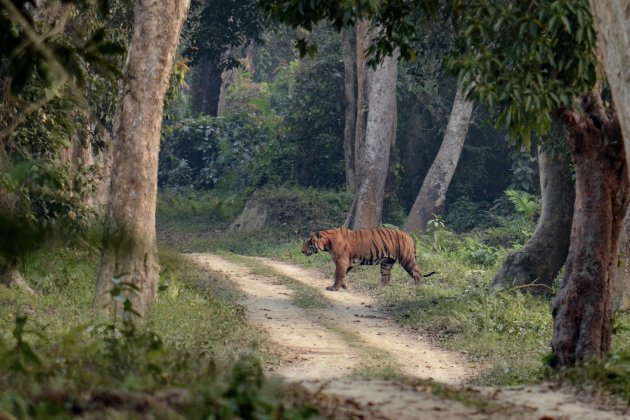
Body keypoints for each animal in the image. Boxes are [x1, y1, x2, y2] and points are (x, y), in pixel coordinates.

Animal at [302, 226, 434, 292]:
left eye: (308, 243)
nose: (302, 251)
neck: (327, 243)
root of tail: (409, 236)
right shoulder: (348, 263)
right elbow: (343, 274)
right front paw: (343, 286)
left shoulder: (341, 261)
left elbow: (338, 274)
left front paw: (334, 288)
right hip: (386, 263)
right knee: (386, 278)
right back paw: (379, 288)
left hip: (407, 258)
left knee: (417, 273)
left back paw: (416, 288)